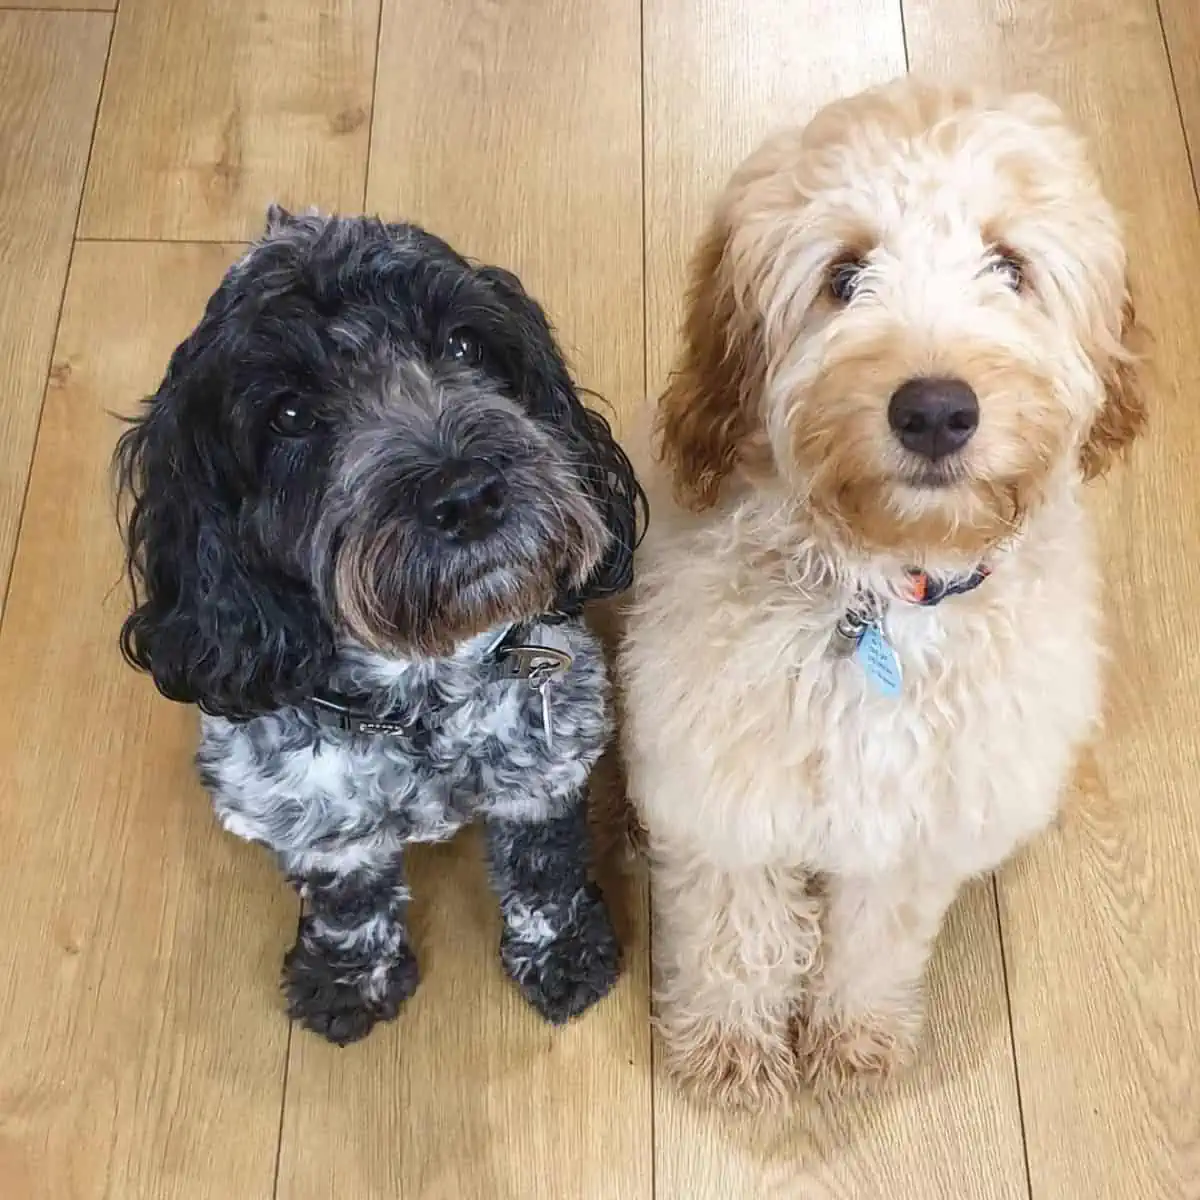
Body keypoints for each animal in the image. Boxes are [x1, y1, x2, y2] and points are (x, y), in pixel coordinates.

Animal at [117, 211, 648, 1046]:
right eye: (290, 416)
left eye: (464, 345)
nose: (467, 493)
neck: (423, 700)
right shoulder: (308, 813)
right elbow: (348, 901)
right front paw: (347, 982)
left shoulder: (543, 761)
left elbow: (543, 870)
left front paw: (563, 954)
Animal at [619, 77, 1142, 1104]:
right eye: (843, 273)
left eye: (1009, 266)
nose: (935, 408)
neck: (886, 597)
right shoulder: (719, 781)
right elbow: (737, 921)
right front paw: (731, 1044)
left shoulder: (920, 822)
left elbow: (877, 933)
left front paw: (853, 1033)